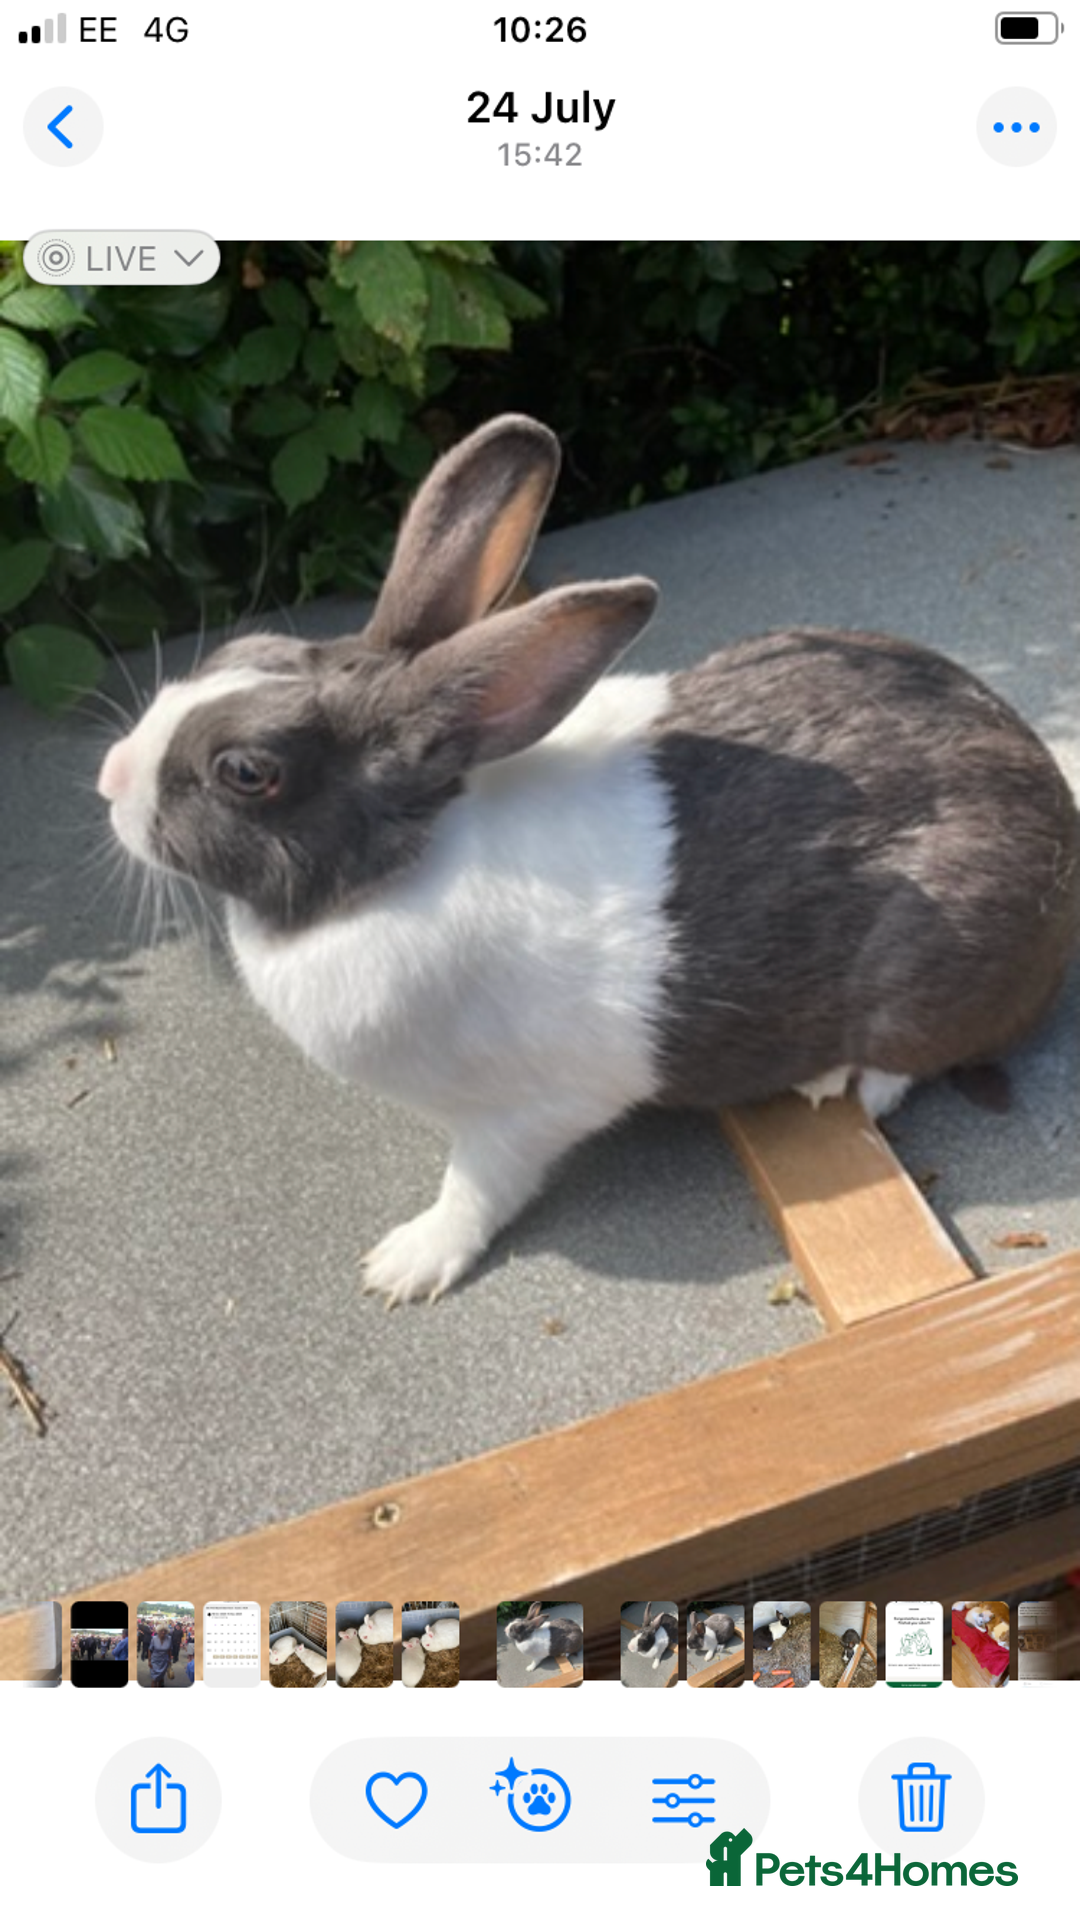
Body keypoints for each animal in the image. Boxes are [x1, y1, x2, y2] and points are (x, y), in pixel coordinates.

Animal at [97, 414, 1080, 1306]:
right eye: (241, 651)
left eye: (246, 772)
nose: (110, 777)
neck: (394, 869)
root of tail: (1050, 806)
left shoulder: (519, 1115)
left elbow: (476, 1189)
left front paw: (405, 1265)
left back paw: (834, 1080)